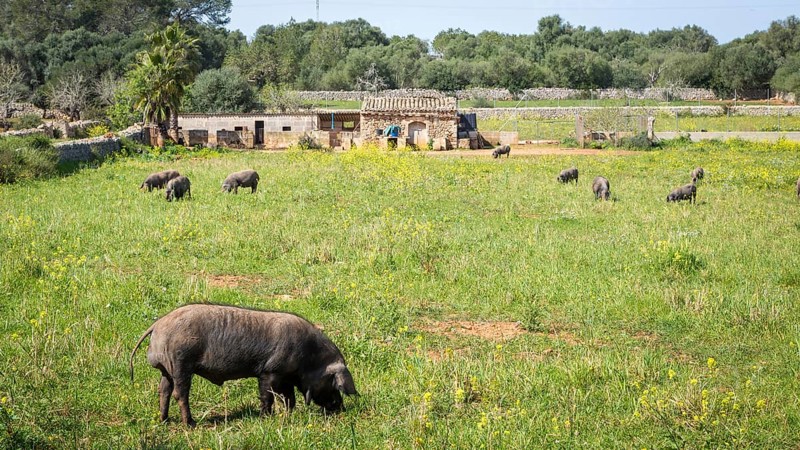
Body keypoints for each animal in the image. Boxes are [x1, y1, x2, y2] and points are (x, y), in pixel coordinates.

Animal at [129, 304, 357, 427]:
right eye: (333, 383)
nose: (340, 407)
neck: (309, 357)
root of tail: (157, 324)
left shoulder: (285, 377)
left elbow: (289, 398)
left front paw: (288, 415)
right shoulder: (269, 371)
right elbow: (267, 395)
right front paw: (266, 417)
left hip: (167, 370)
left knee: (163, 390)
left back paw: (164, 420)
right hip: (181, 363)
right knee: (179, 393)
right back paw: (191, 424)